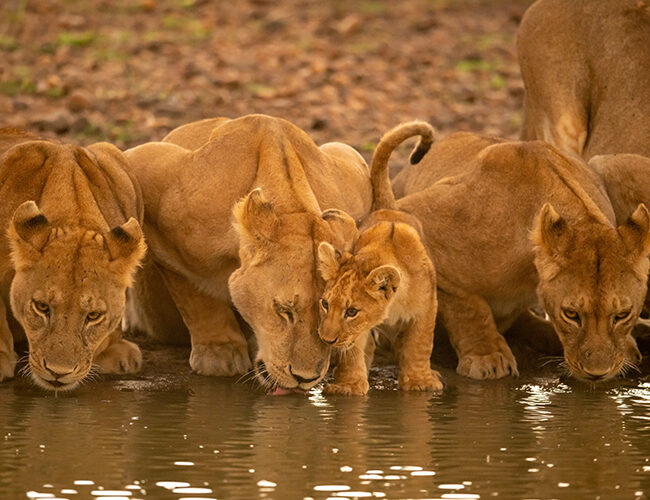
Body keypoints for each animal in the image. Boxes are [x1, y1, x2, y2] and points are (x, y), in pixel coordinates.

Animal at [123, 115, 372, 393]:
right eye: (283, 311)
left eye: (327, 309)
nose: (305, 378)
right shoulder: (151, 172)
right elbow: (193, 291)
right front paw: (219, 352)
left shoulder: (351, 167)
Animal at [379, 125, 649, 382]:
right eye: (571, 314)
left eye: (622, 315)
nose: (597, 373)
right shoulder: (414, 216)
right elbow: (468, 305)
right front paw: (488, 357)